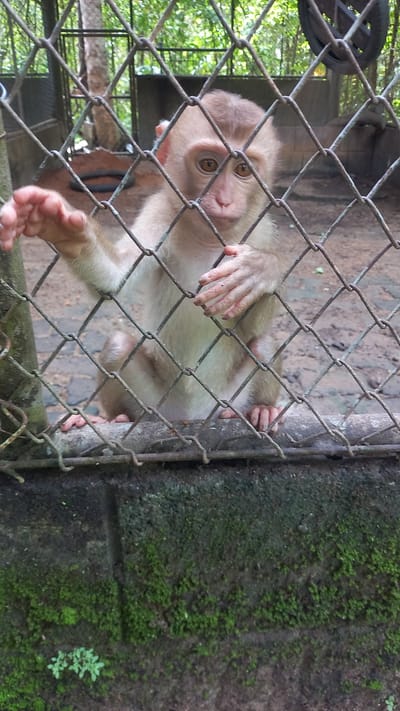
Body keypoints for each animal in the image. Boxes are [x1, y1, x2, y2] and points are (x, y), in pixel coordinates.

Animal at [0, 90, 284, 433]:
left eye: (242, 169)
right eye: (208, 164)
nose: (224, 200)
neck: (207, 235)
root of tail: (192, 416)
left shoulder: (263, 228)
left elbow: (253, 326)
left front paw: (260, 270)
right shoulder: (160, 211)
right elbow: (116, 278)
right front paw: (63, 227)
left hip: (229, 398)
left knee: (264, 345)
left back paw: (261, 410)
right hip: (154, 403)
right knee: (119, 346)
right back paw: (113, 417)